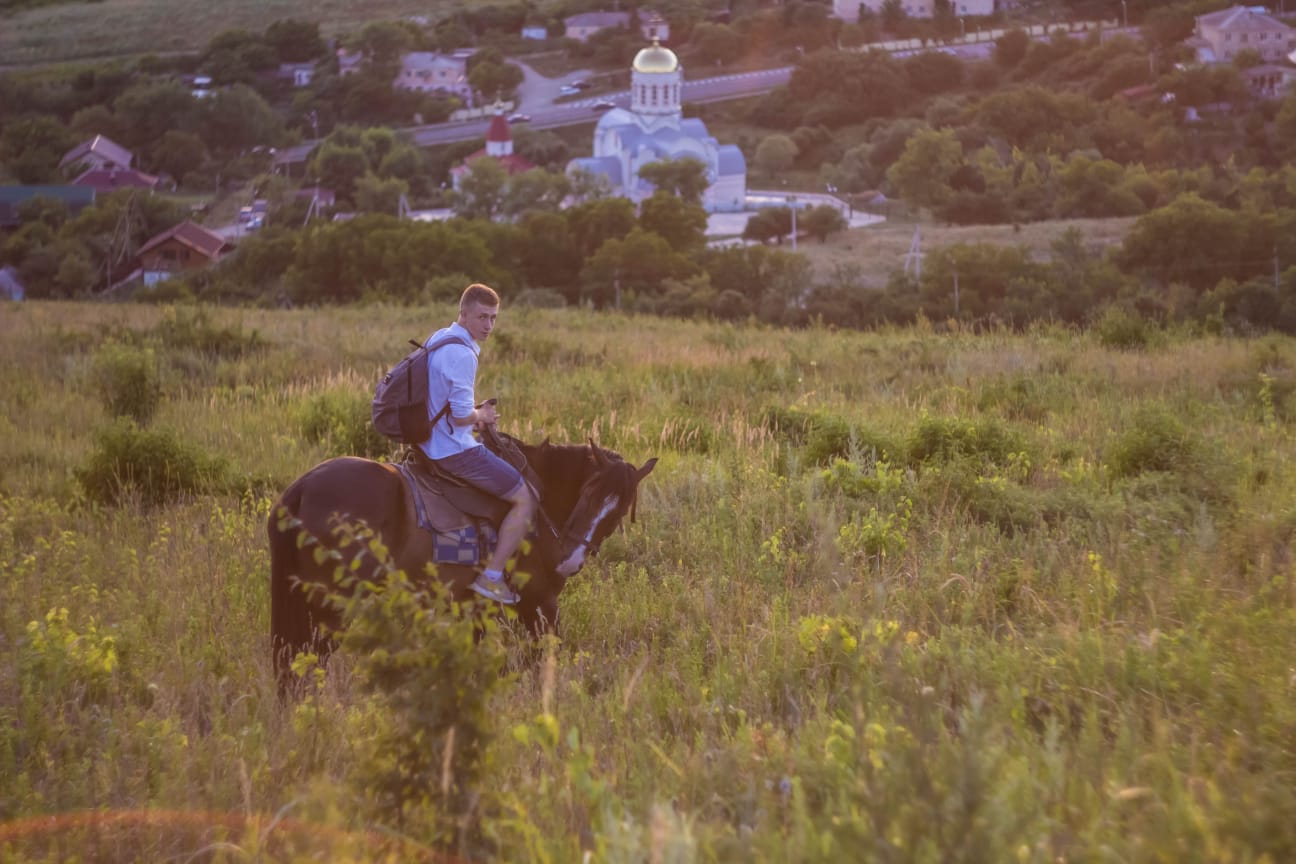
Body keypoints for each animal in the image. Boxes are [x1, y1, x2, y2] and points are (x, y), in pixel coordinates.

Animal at [270, 440, 658, 689]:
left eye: (619, 512)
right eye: (589, 492)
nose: (571, 560)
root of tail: (302, 488)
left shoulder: (476, 611)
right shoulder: (540, 605)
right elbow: (541, 661)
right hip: (331, 610)